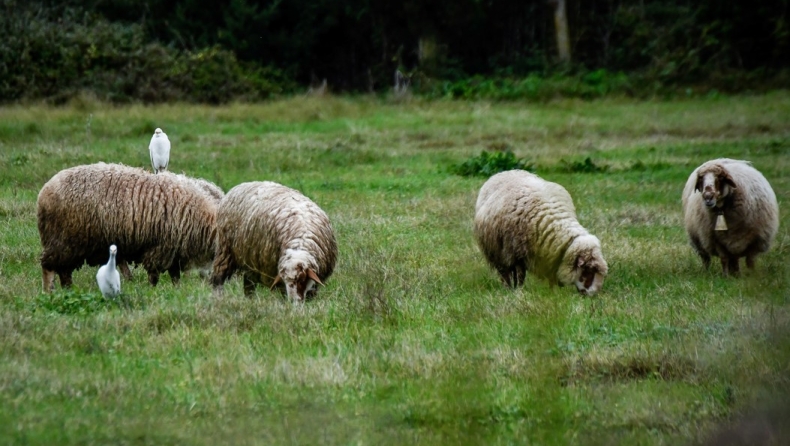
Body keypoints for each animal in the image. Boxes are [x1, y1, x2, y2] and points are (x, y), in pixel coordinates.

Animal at [36, 162, 217, 290]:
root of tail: (44, 193)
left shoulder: (173, 250)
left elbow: (174, 276)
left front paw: (177, 291)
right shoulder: (160, 248)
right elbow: (154, 275)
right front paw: (153, 290)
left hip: (69, 244)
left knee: (64, 271)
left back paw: (68, 289)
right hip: (63, 239)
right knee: (48, 266)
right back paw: (48, 291)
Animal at [210, 181, 338, 304]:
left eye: (301, 279)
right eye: (285, 281)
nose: (293, 302)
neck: (300, 241)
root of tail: (239, 186)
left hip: (250, 260)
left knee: (248, 284)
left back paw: (250, 300)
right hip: (225, 250)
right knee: (218, 279)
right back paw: (218, 298)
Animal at [474, 169, 608, 294]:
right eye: (588, 270)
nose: (594, 295)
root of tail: (507, 171)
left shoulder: (551, 255)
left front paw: (553, 292)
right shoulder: (517, 253)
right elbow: (520, 275)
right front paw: (519, 291)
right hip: (497, 251)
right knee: (504, 273)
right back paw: (508, 288)